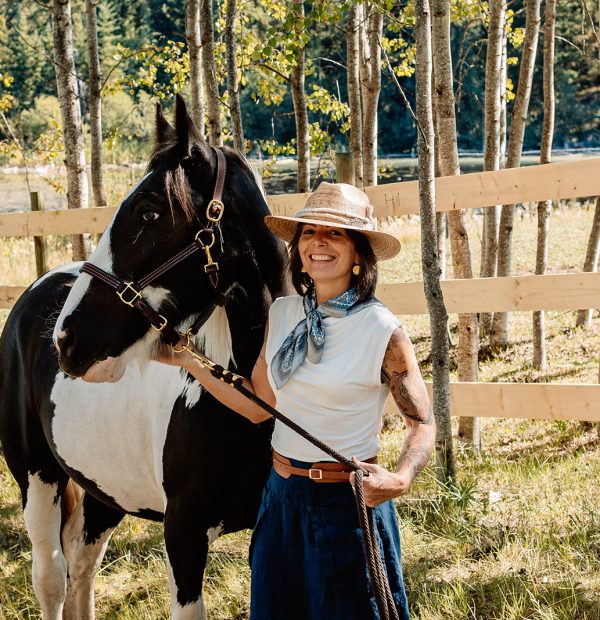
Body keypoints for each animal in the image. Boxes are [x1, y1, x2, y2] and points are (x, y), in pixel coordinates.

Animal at [0, 94, 288, 616]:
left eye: (150, 213)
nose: (66, 339)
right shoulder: (183, 537)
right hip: (37, 477)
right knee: (51, 578)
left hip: (103, 489)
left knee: (82, 564)